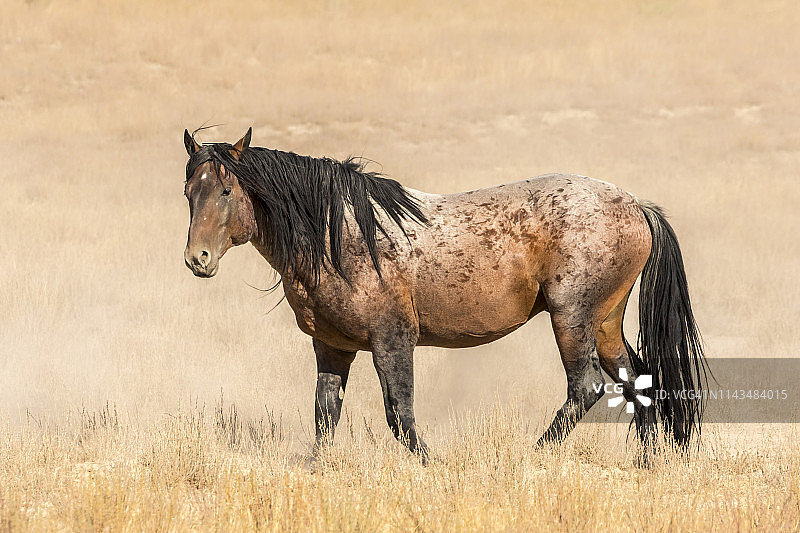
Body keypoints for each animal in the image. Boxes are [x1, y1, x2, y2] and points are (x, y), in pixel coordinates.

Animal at [181, 127, 708, 460]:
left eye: (227, 191)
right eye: (189, 191)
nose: (197, 258)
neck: (340, 235)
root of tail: (636, 205)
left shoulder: (392, 341)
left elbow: (400, 415)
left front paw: (432, 466)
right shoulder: (332, 347)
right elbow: (325, 415)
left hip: (571, 319)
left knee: (587, 386)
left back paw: (533, 454)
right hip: (604, 322)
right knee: (637, 380)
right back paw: (649, 463)